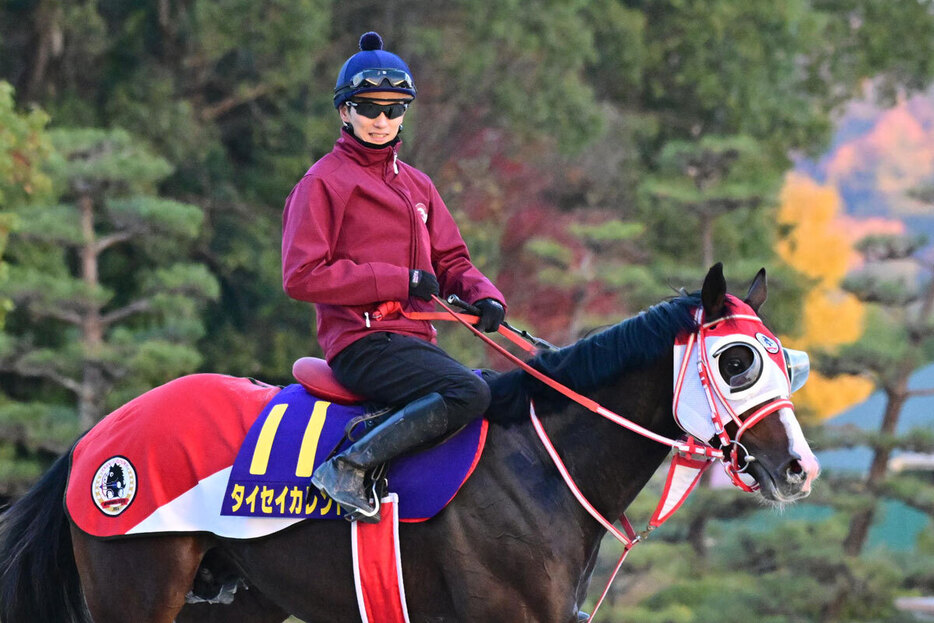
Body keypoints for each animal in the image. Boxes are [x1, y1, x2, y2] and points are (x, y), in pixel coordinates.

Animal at [0, 264, 820, 623]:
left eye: (786, 359)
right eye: (737, 360)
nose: (798, 467)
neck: (540, 467)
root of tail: (97, 439)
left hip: (233, 606)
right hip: (136, 591)